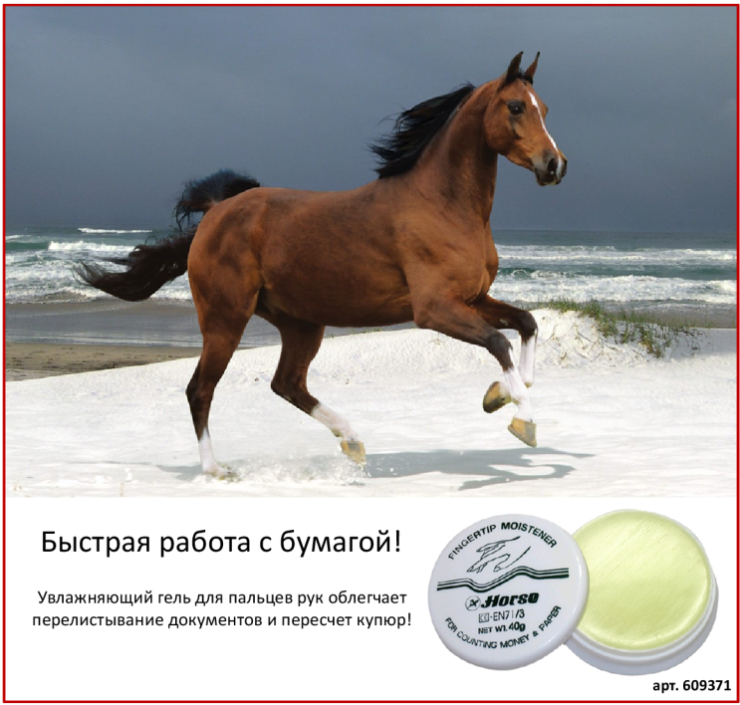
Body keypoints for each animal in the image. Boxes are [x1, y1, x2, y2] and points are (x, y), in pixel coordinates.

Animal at [77, 52, 567, 478]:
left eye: (544, 108)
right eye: (516, 107)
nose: (555, 165)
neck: (443, 204)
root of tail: (217, 211)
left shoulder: (473, 297)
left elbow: (526, 324)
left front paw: (499, 395)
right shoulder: (433, 309)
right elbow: (498, 342)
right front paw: (523, 421)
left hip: (301, 323)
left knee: (286, 384)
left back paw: (352, 440)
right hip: (225, 319)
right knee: (201, 389)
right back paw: (216, 469)